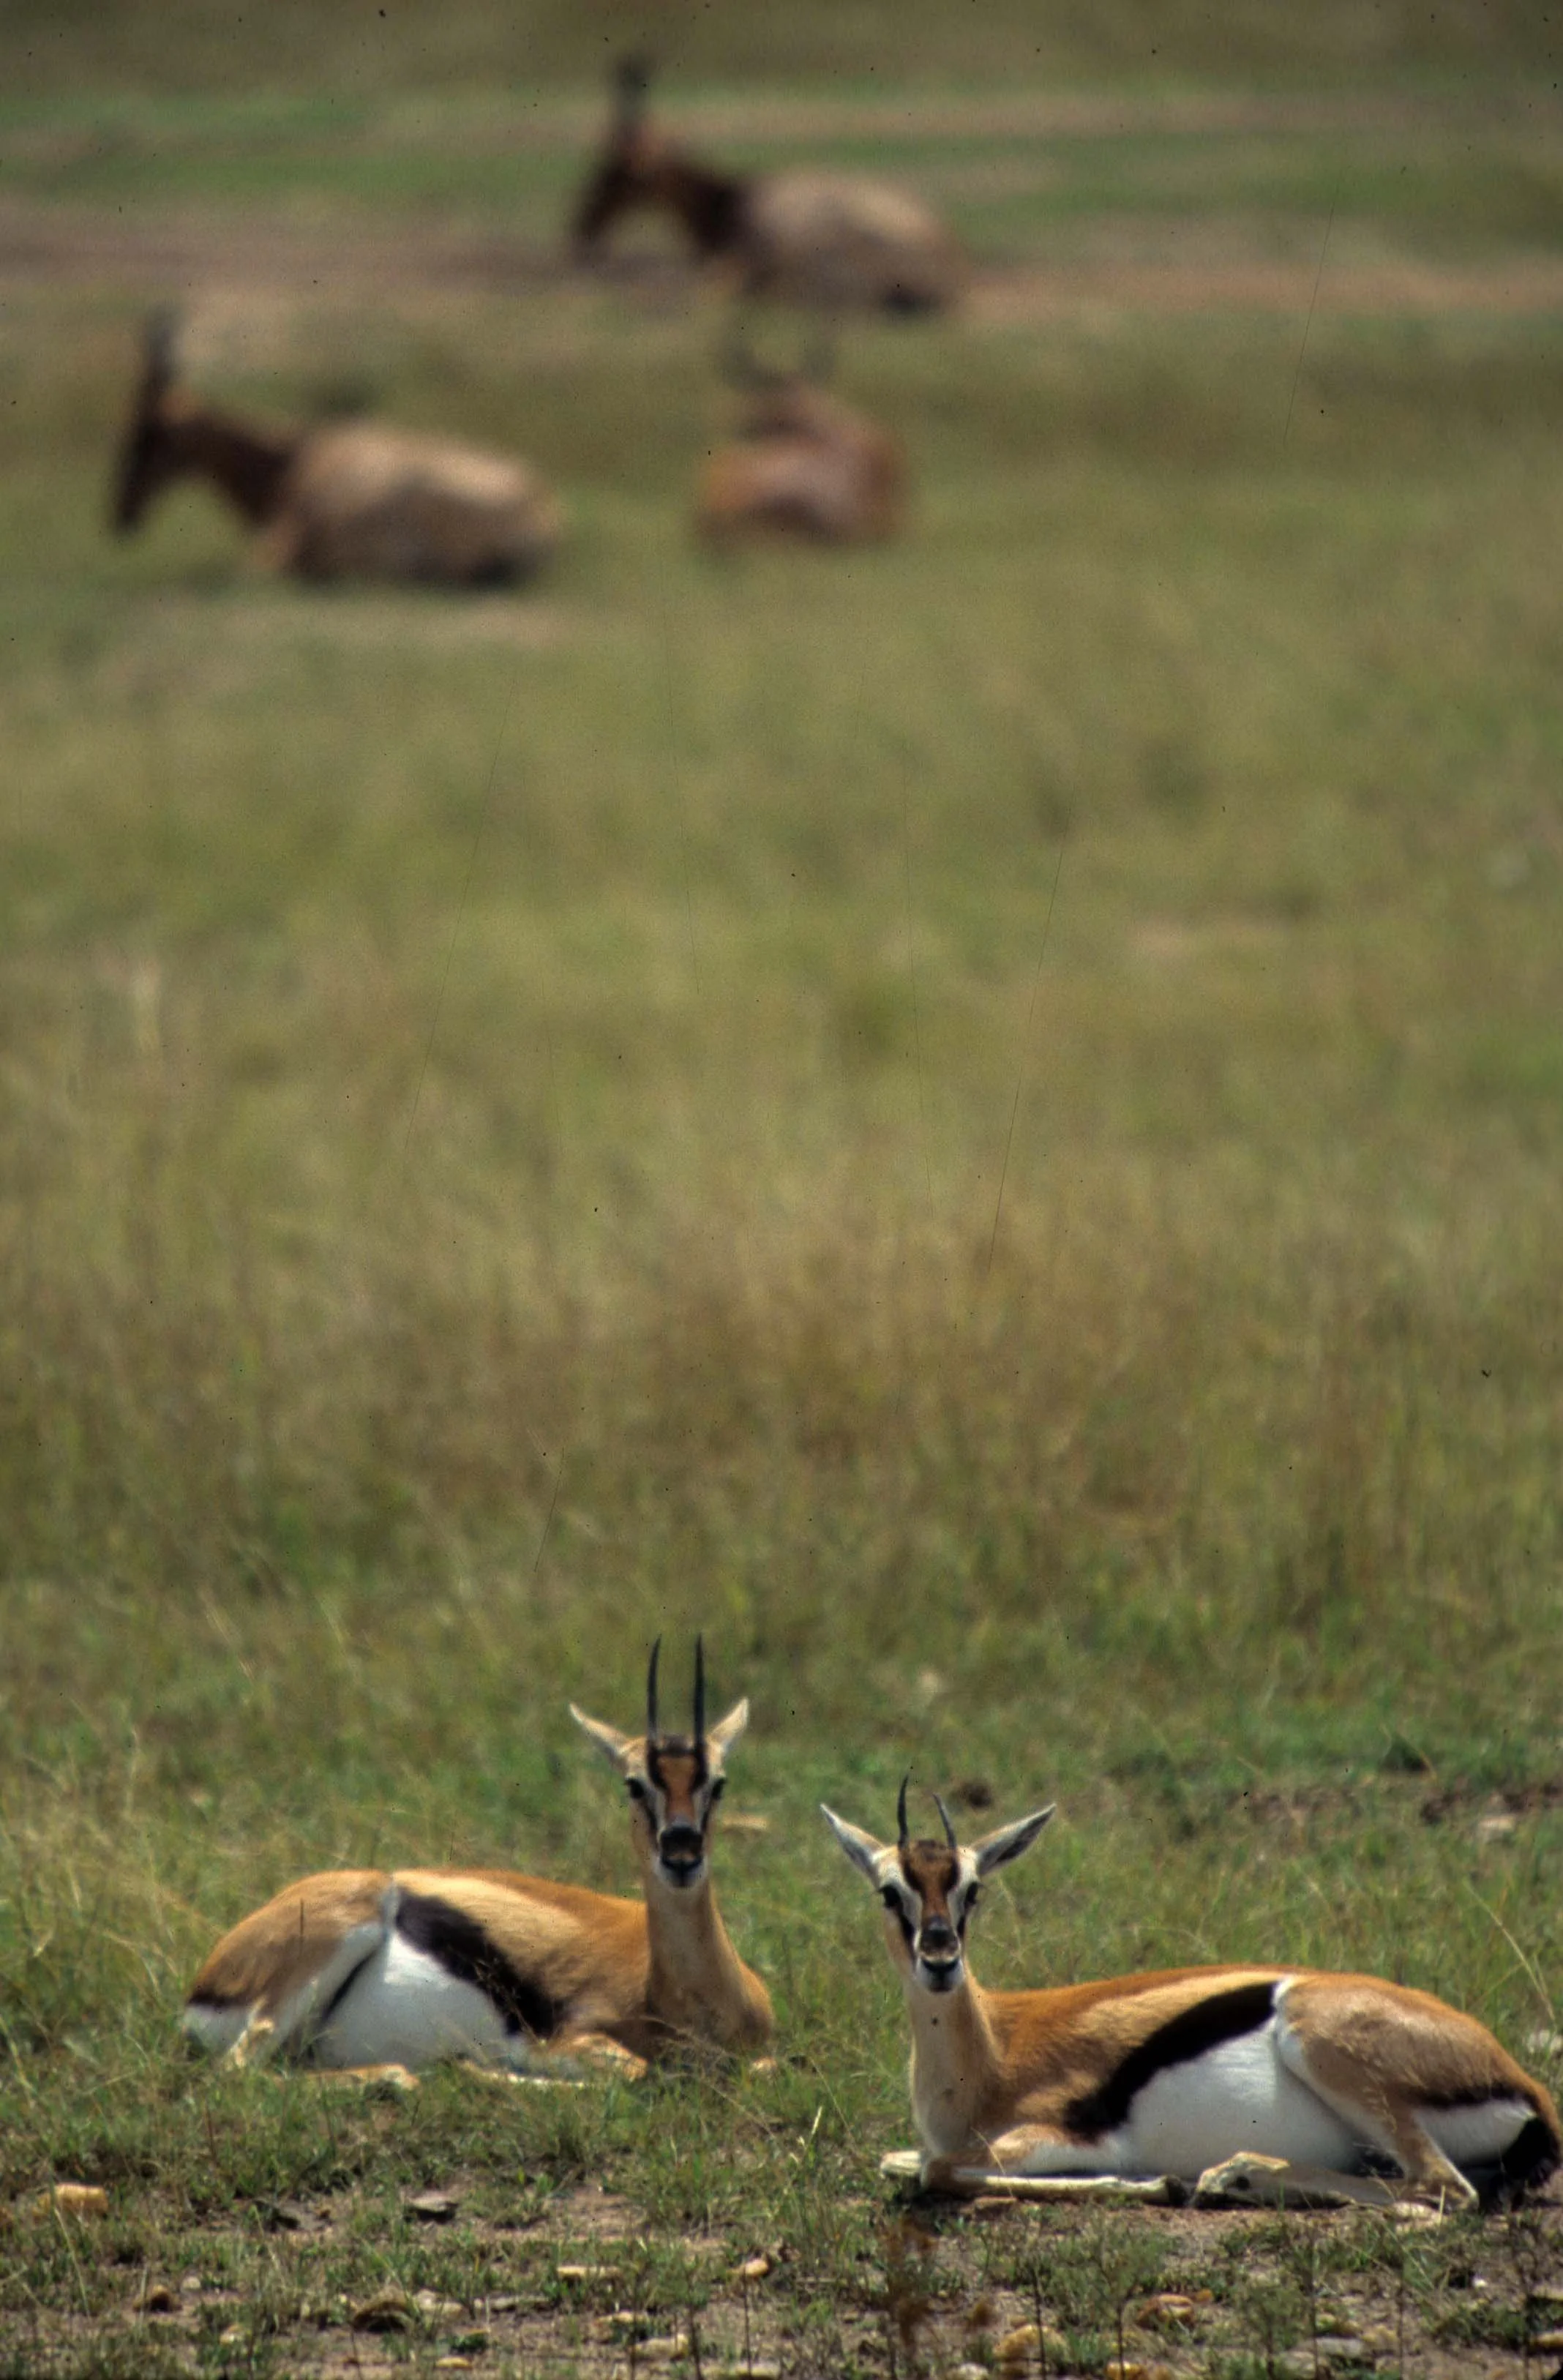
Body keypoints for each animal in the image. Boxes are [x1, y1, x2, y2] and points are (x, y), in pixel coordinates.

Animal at [182, 1642, 773, 2076]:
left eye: (718, 1782)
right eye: (634, 1783)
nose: (680, 1855)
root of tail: (208, 1977)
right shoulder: (556, 2042)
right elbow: (636, 2071)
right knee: (239, 2072)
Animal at [823, 1782, 1561, 2208]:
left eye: (973, 1888)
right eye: (889, 1891)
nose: (940, 1960)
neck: (991, 2052)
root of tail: (1527, 2088)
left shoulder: (1056, 2135)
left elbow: (938, 2171)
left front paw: (1151, 2182)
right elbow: (906, 2163)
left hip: (1318, 2042)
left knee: (1442, 2191)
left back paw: (1228, 2174)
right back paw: (1234, 2177)